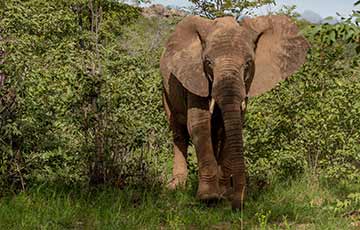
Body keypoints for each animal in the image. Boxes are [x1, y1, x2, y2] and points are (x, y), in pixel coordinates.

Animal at [160, 13, 310, 208]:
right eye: (208, 63)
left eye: (248, 63)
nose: (238, 205)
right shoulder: (195, 76)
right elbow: (198, 124)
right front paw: (209, 198)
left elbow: (230, 127)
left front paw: (224, 195)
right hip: (166, 88)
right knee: (179, 131)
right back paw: (176, 187)